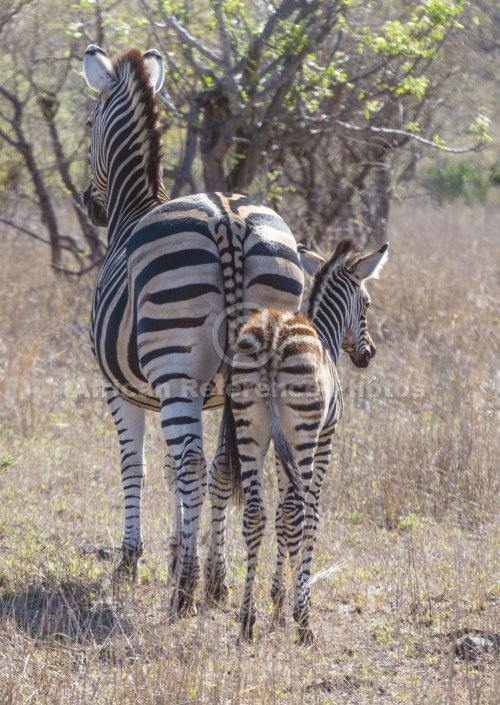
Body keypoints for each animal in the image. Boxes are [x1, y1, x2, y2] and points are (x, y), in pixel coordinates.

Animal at [81, 46, 304, 612]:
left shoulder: (122, 390)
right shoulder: (212, 392)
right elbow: (191, 473)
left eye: (89, 123)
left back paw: (182, 594)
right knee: (232, 466)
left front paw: (132, 562)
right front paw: (190, 562)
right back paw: (217, 584)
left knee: (192, 465)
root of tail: (228, 218)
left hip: (174, 367)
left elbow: (137, 465)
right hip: (256, 369)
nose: (91, 206)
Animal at [232, 238, 388, 644]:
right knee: (299, 512)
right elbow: (311, 515)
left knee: (256, 513)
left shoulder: (278, 448)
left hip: (250, 430)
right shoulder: (325, 438)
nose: (369, 354)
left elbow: (281, 518)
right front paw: (296, 605)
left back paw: (246, 621)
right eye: (367, 304)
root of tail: (272, 335)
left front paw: (276, 602)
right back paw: (304, 624)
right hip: (304, 437)